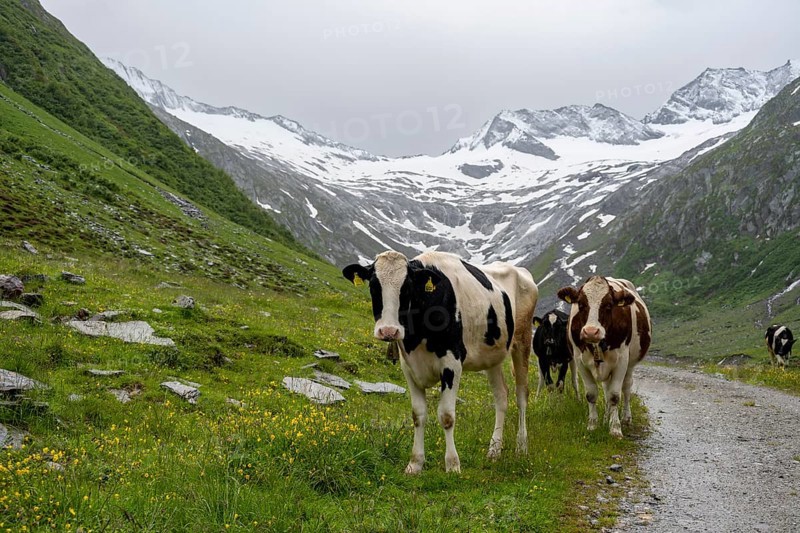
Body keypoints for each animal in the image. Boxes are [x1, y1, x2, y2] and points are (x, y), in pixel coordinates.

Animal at [342, 250, 538, 473]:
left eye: (406, 287)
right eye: (374, 285)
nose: (389, 331)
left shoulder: (452, 363)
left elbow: (446, 416)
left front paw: (452, 465)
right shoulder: (408, 367)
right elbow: (418, 415)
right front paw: (415, 464)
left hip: (523, 341)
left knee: (521, 395)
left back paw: (521, 447)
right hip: (493, 355)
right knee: (501, 396)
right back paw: (494, 451)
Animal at [557, 276, 651, 438]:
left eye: (608, 305)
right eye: (581, 304)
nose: (591, 331)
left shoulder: (621, 361)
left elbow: (614, 395)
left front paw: (615, 429)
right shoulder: (579, 361)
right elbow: (592, 394)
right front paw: (592, 425)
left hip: (630, 364)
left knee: (626, 387)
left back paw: (626, 418)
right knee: (606, 389)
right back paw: (606, 417)